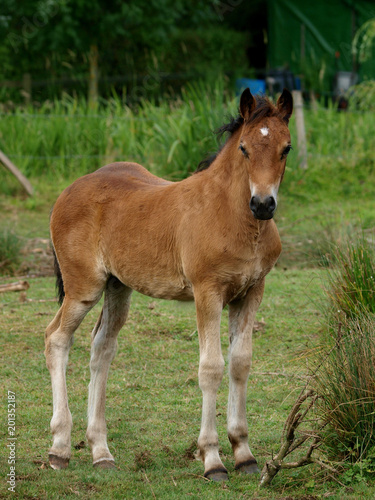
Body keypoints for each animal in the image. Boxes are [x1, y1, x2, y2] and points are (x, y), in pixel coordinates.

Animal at [45, 89, 294, 480]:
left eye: (286, 148)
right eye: (244, 149)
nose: (263, 205)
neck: (231, 216)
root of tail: (70, 189)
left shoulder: (251, 292)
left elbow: (240, 363)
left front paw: (244, 453)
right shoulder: (208, 291)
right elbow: (211, 368)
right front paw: (212, 459)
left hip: (118, 286)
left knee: (102, 349)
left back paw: (101, 452)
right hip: (84, 287)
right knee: (56, 338)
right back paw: (59, 448)